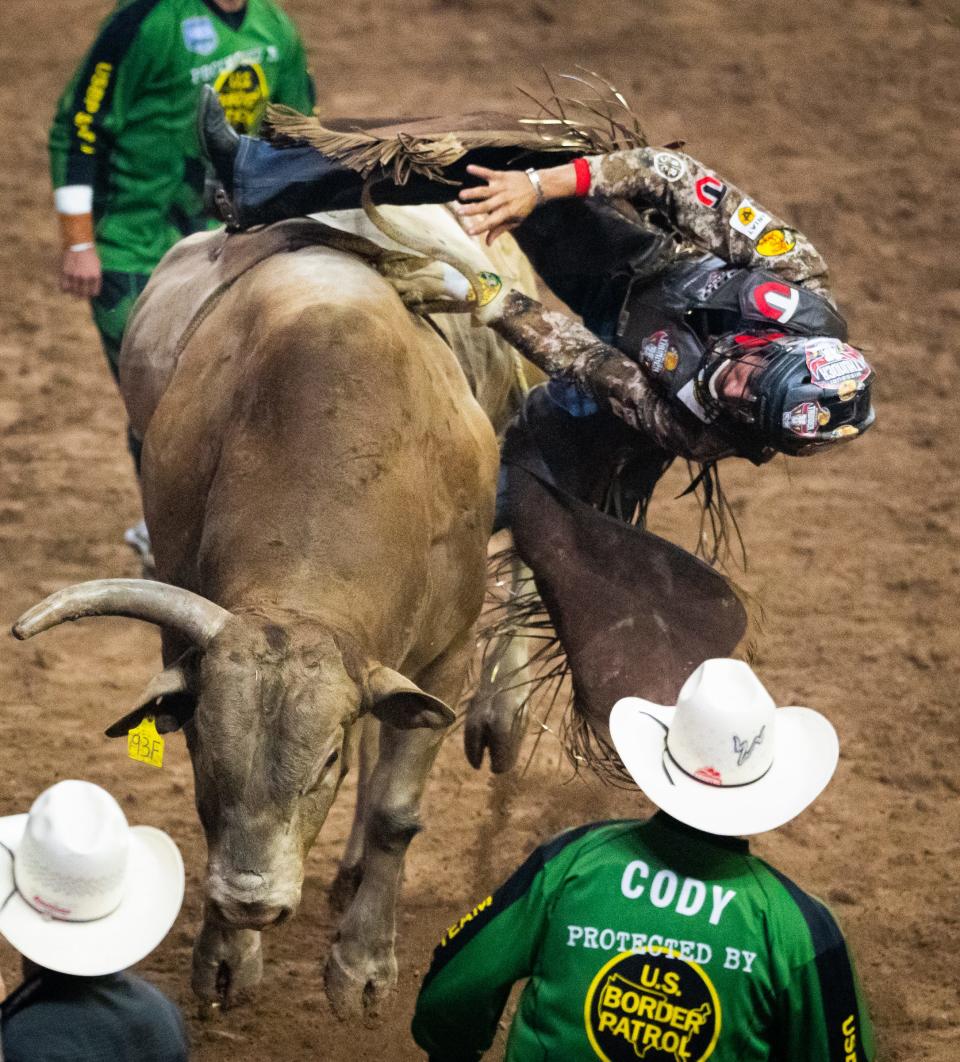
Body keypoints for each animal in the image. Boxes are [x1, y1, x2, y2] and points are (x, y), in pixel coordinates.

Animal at [15, 204, 535, 1011]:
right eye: (205, 749)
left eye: (323, 764)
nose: (251, 899)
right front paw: (227, 958)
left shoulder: (445, 655)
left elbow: (396, 811)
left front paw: (362, 966)